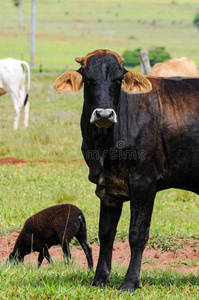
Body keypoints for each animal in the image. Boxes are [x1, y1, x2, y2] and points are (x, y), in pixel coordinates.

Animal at [53, 49, 199, 292]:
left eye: (118, 79)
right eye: (88, 79)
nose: (104, 115)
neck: (104, 147)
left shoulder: (144, 182)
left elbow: (137, 234)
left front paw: (130, 282)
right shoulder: (109, 189)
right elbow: (106, 233)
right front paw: (100, 279)